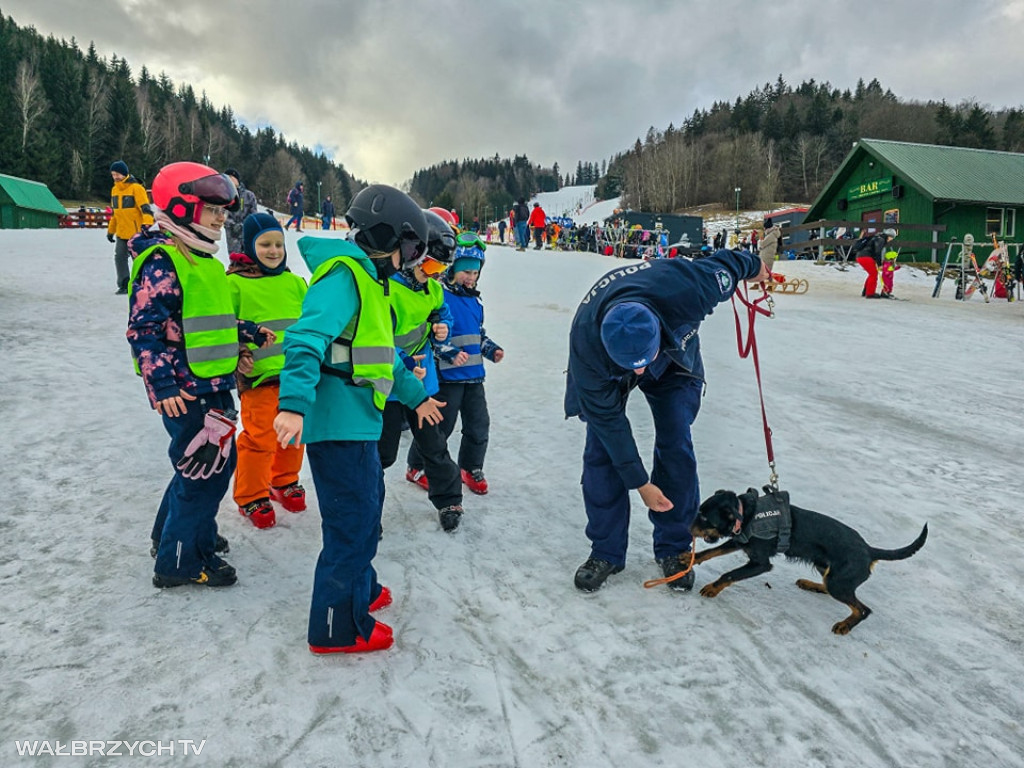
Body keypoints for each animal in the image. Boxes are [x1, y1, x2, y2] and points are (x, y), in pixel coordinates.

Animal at [688, 489, 929, 634]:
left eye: (705, 518)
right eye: (699, 512)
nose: (689, 529)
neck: (746, 513)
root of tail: (869, 550)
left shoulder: (761, 563)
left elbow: (729, 574)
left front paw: (712, 588)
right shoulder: (740, 540)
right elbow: (712, 551)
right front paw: (689, 557)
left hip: (838, 581)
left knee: (862, 609)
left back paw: (845, 625)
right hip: (826, 568)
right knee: (830, 587)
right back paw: (809, 584)